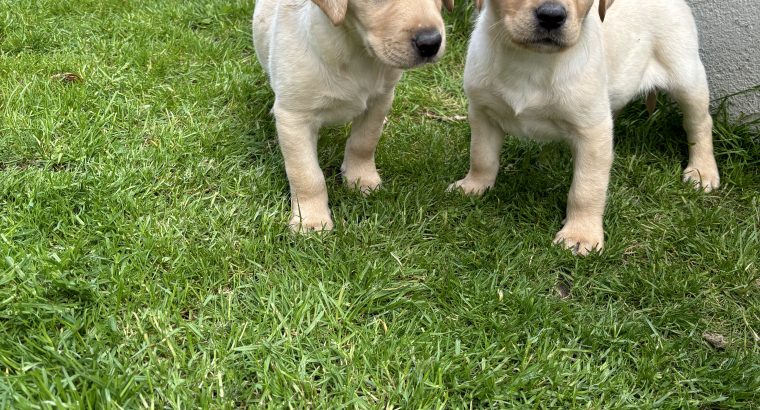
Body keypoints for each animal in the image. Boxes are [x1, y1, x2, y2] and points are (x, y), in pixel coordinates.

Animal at [252, 0, 454, 231]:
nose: (431, 43)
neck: (354, 47)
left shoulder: (380, 100)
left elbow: (364, 143)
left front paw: (361, 179)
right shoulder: (295, 117)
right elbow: (306, 174)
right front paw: (311, 220)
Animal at [452, 0, 720, 255]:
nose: (551, 16)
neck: (532, 59)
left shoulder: (592, 131)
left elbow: (586, 188)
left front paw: (581, 235)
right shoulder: (482, 112)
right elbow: (482, 157)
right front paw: (474, 186)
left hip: (686, 76)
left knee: (699, 123)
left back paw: (702, 171)